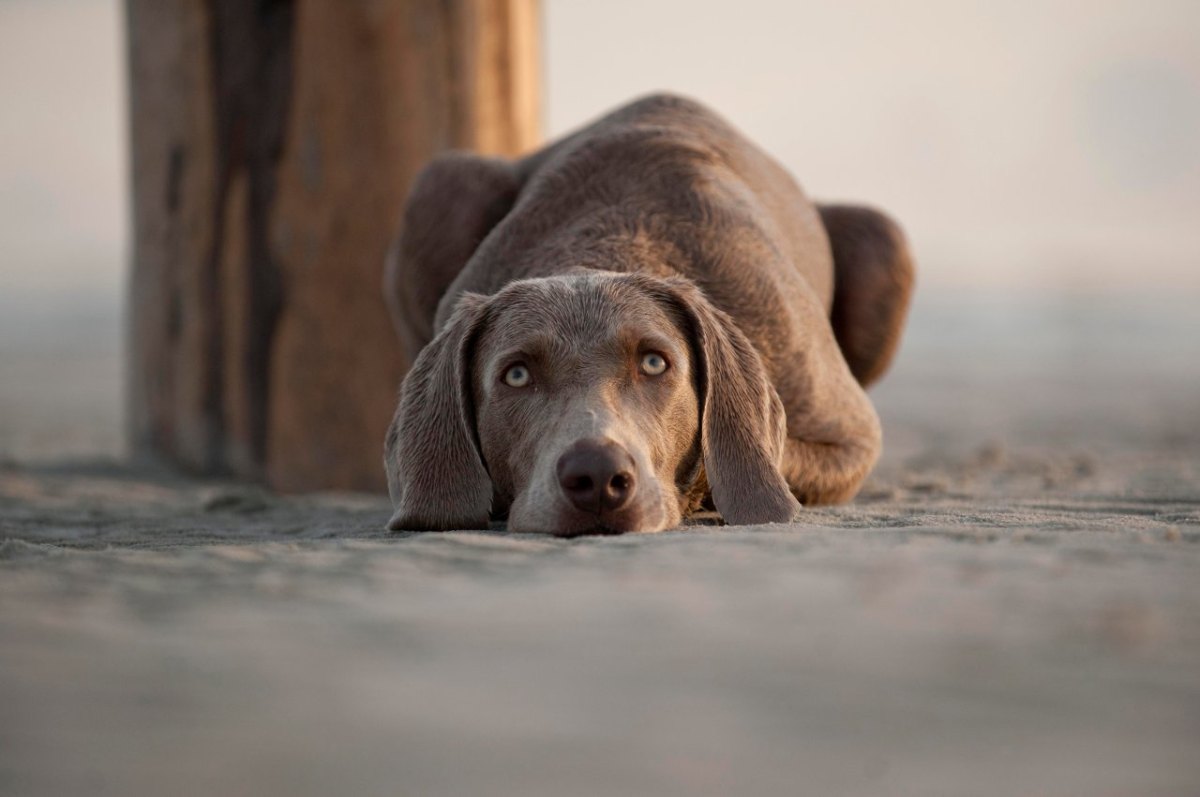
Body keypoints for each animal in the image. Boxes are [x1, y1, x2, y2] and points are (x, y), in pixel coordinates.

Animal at [379, 94, 912, 535]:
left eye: (655, 363)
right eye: (516, 375)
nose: (596, 474)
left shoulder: (849, 436)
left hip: (884, 239)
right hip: (443, 184)